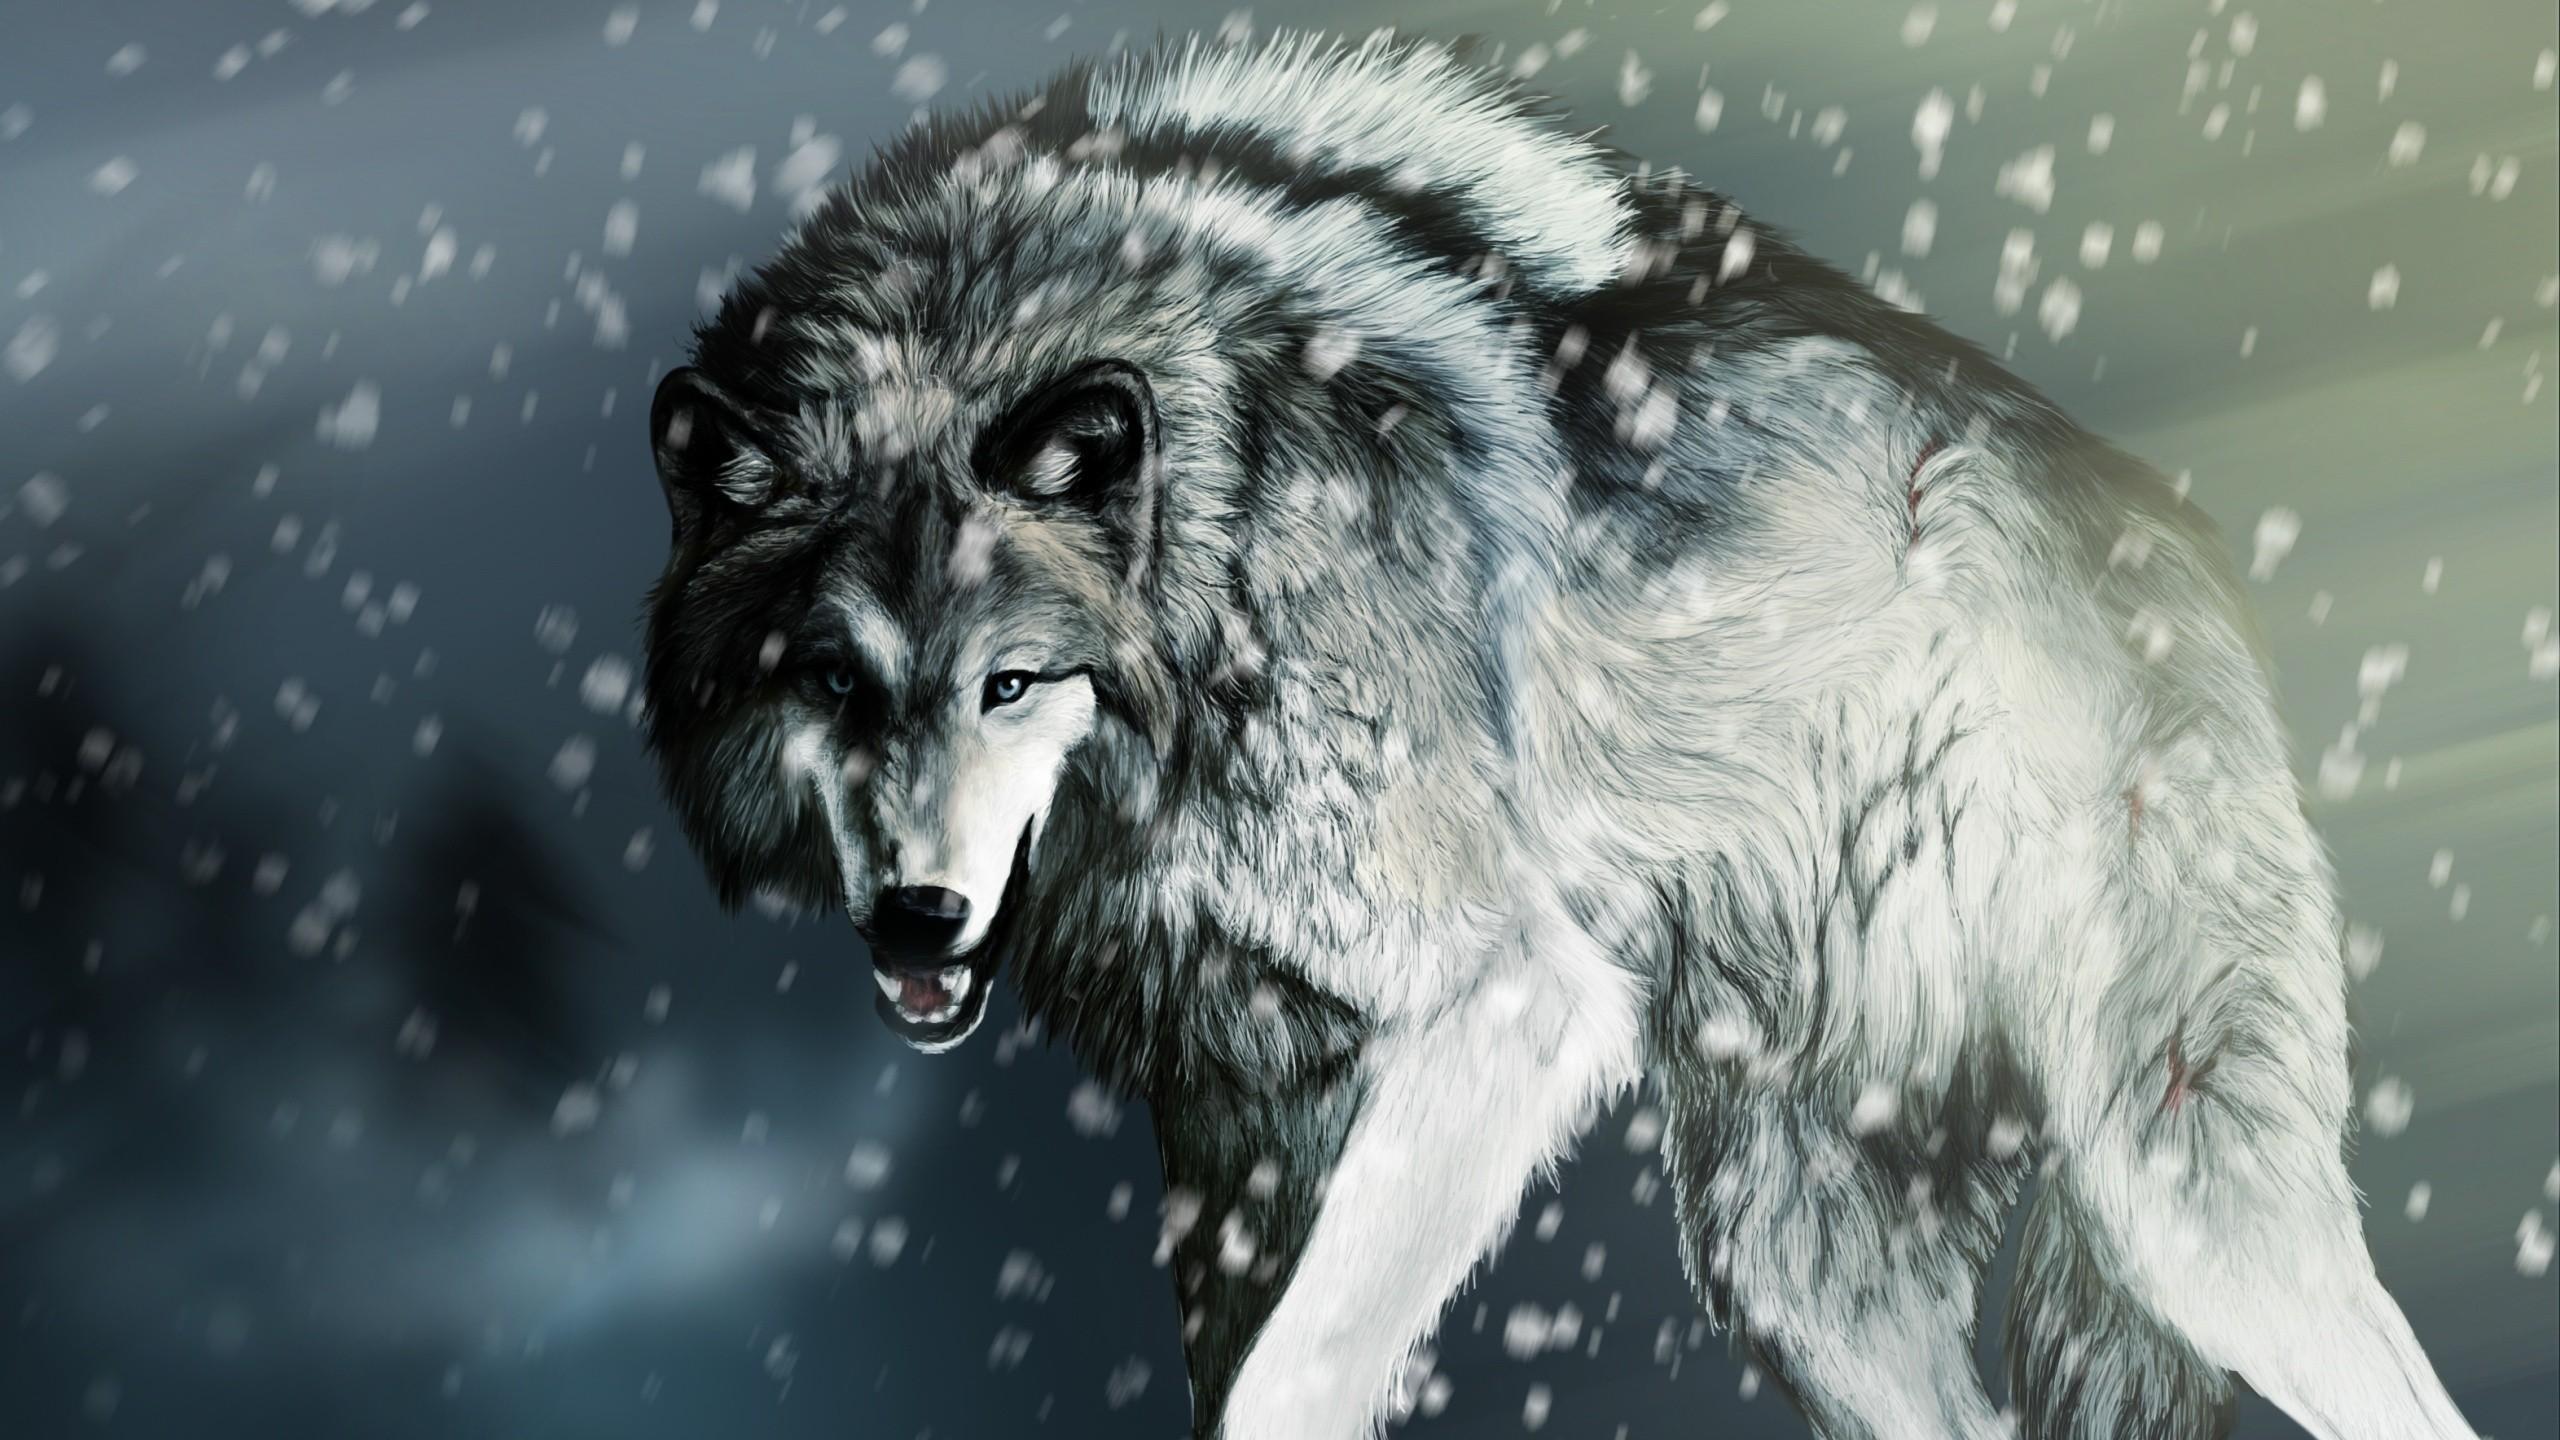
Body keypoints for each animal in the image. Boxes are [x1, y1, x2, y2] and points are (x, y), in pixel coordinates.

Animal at [636, 30, 2477, 1440]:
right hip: (1790, 1268)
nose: (917, 918)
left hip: (2180, 1203)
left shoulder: (1501, 1004)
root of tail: (2169, 526)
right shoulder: (1239, 1126)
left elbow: (1293, 1379)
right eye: (833, 682)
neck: (1221, 541)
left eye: (1012, 683)